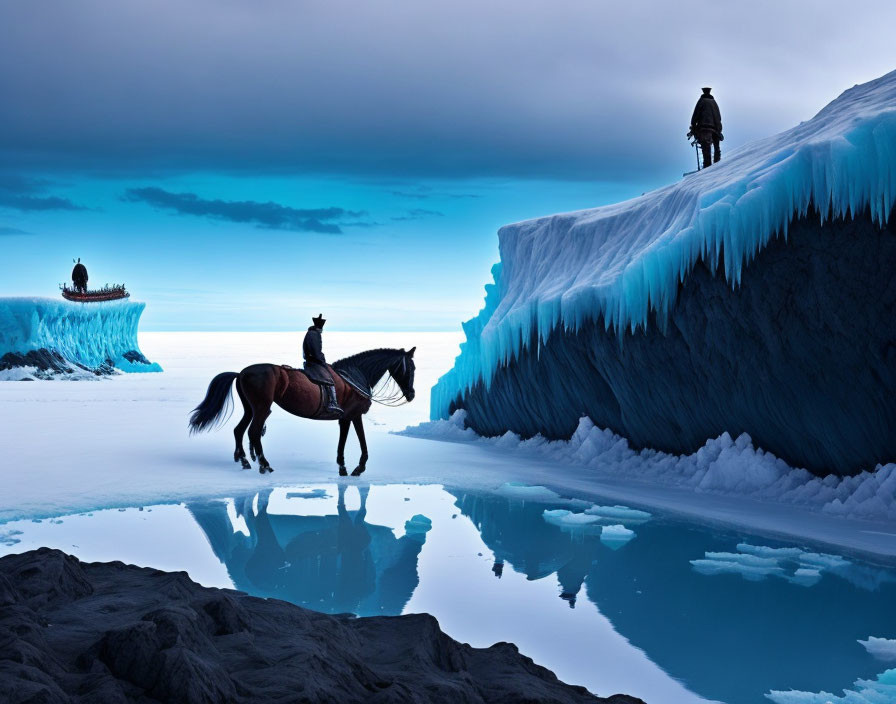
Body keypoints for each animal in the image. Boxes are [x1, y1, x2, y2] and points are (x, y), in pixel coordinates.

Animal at [188, 350, 416, 476]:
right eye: (411, 368)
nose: (412, 394)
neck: (355, 376)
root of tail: (242, 373)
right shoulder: (355, 415)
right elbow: (362, 441)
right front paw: (358, 468)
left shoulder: (345, 418)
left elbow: (343, 441)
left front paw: (343, 468)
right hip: (262, 407)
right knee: (253, 432)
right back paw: (264, 465)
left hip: (250, 408)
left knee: (239, 430)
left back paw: (244, 461)